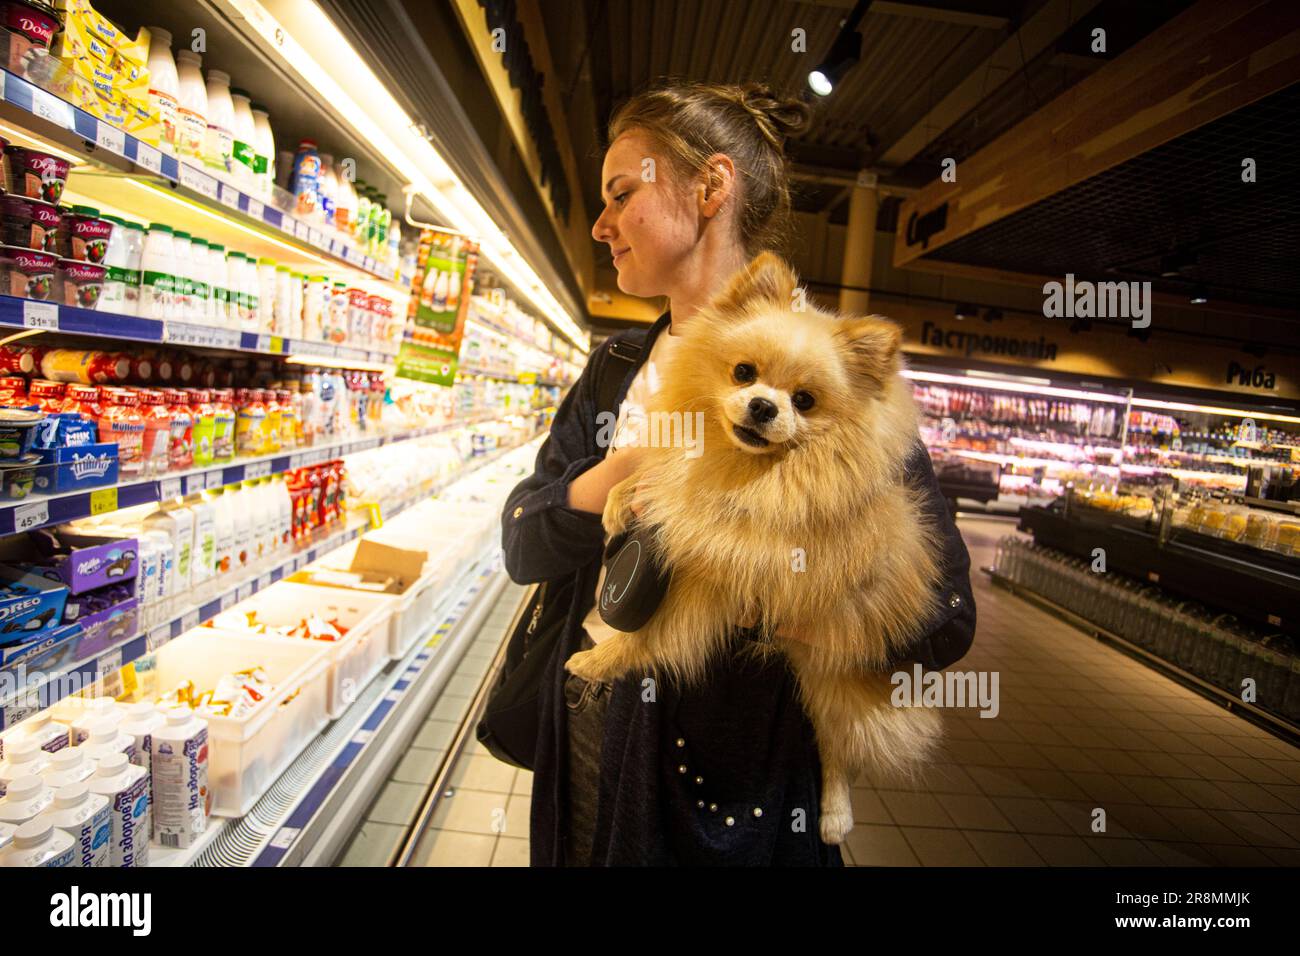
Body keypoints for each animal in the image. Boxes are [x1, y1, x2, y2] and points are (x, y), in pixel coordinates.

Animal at [566, 251, 946, 842]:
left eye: (805, 401)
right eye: (743, 372)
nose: (765, 406)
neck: (742, 470)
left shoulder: (718, 582)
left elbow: (649, 632)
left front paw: (599, 660)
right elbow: (649, 485)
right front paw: (619, 501)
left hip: (833, 671)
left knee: (837, 751)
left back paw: (835, 815)